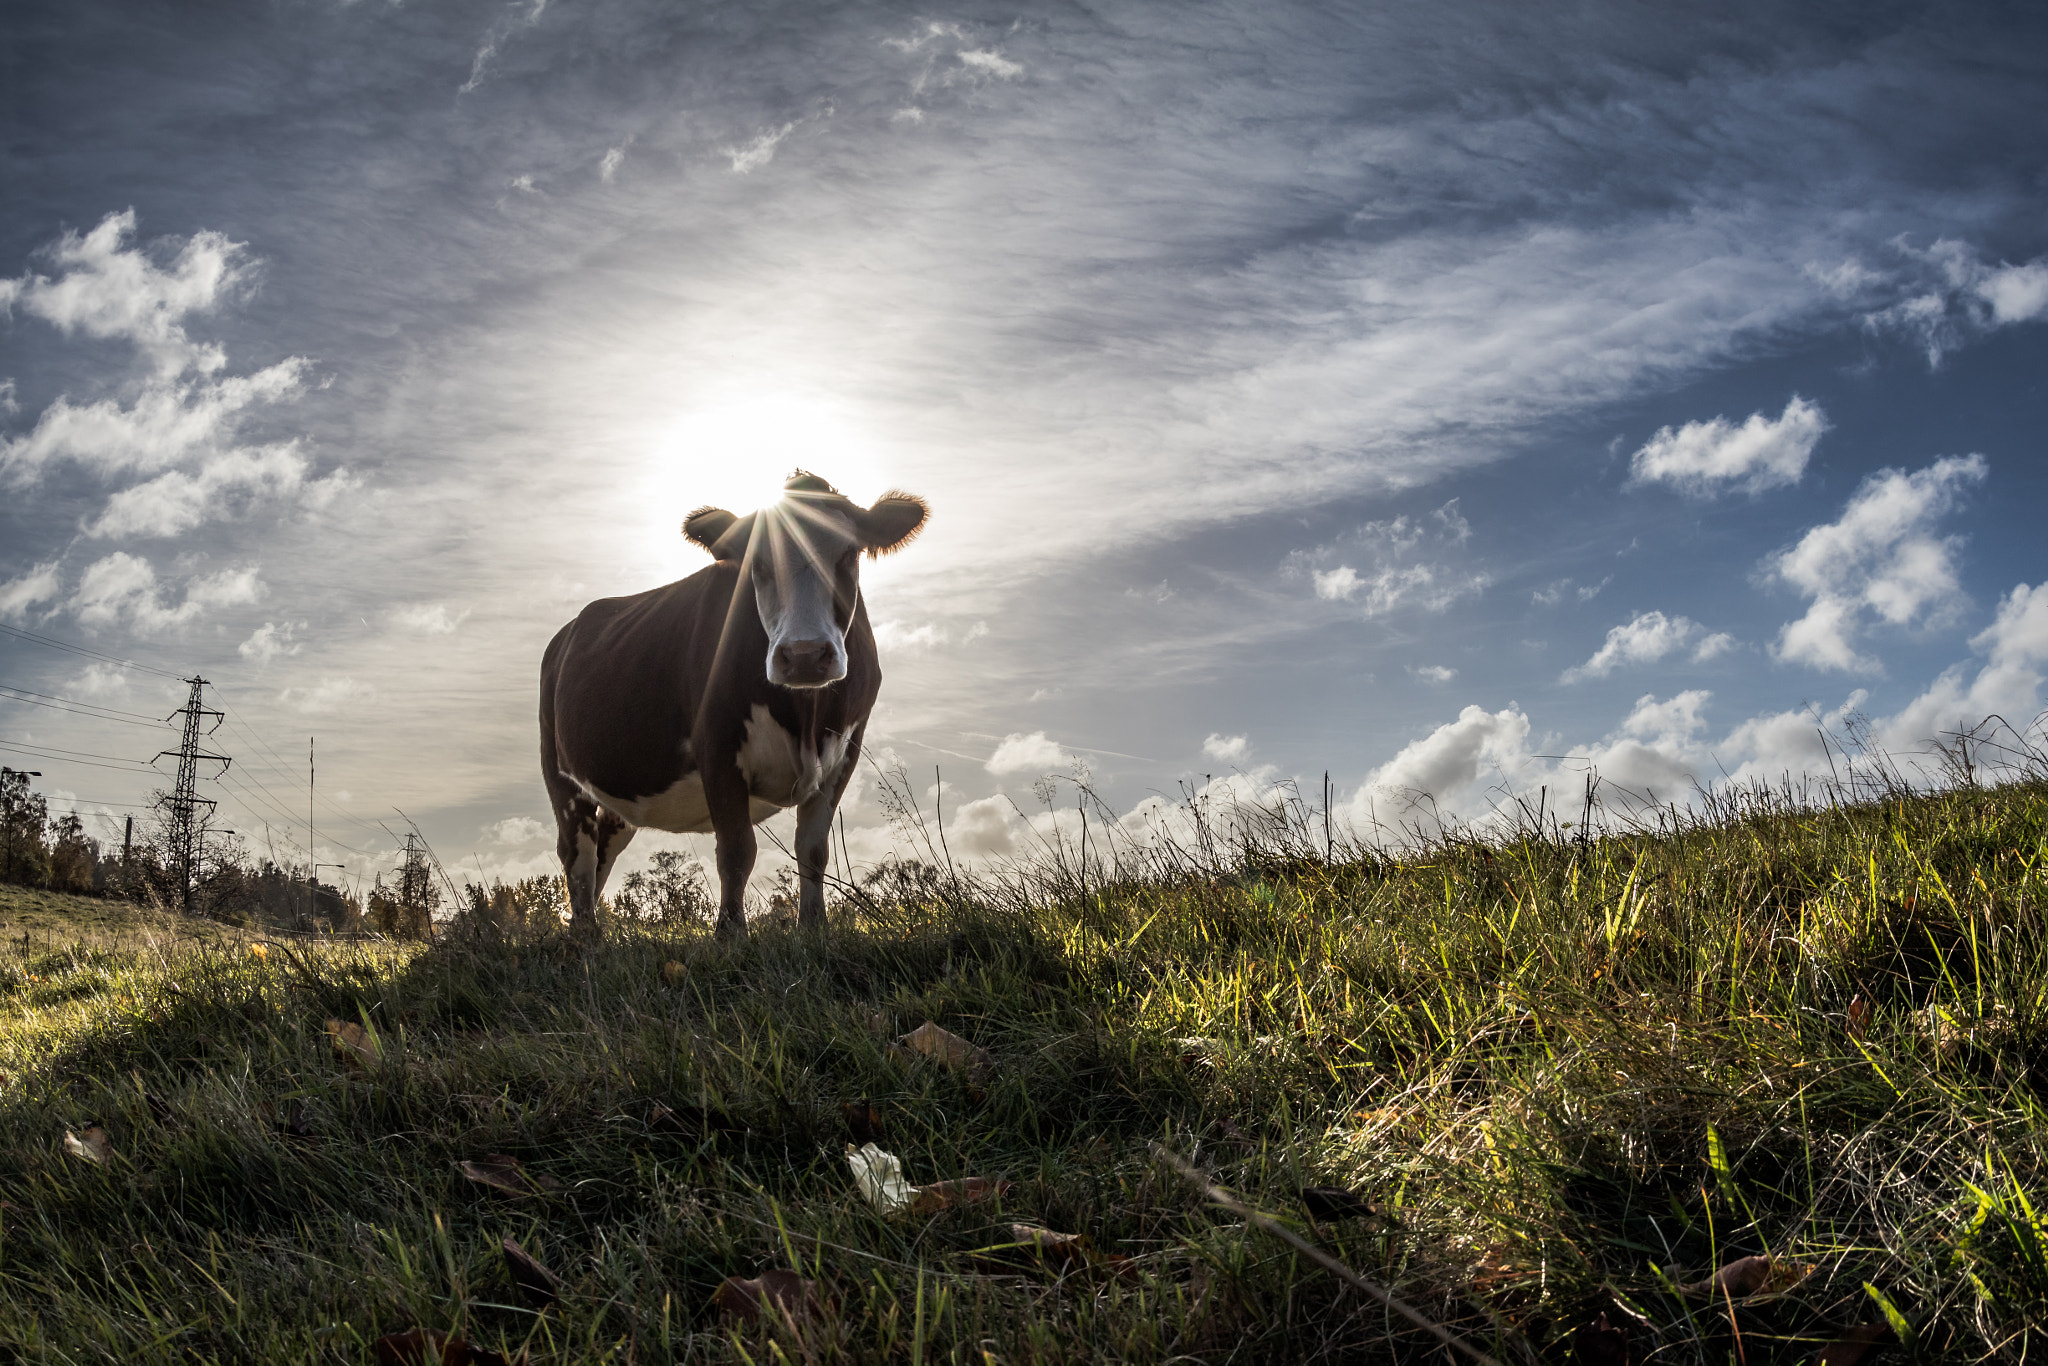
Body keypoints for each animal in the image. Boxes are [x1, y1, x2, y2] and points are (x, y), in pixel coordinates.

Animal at [540, 471, 933, 942]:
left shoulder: (844, 754)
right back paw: (586, 937)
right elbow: (737, 850)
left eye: (848, 554)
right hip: (560, 771)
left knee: (603, 847)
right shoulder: (717, 746)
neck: (804, 716)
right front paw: (729, 935)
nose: (804, 655)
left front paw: (813, 927)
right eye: (756, 565)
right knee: (576, 853)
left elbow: (813, 849)